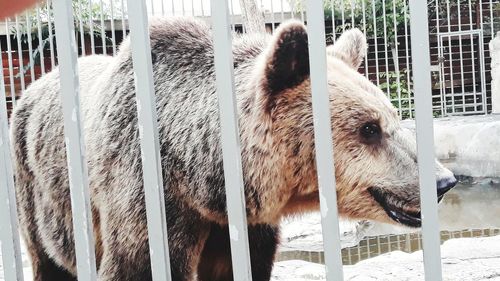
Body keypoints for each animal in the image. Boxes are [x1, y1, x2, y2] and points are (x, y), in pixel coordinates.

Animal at [10, 17, 458, 280]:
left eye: (392, 117)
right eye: (369, 128)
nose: (444, 181)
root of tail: (31, 87)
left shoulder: (238, 228)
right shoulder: (146, 196)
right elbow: (138, 265)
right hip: (38, 194)